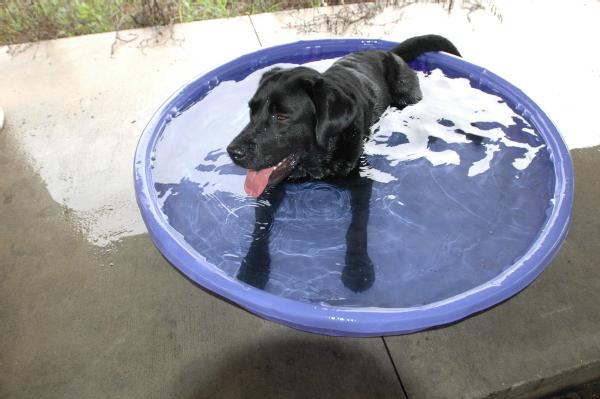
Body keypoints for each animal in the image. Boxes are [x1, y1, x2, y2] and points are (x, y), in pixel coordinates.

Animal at [225, 36, 460, 292]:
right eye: (252, 110)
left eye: (282, 116)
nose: (232, 151)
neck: (317, 161)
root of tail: (389, 52)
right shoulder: (271, 188)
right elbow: (262, 225)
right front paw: (254, 266)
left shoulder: (361, 182)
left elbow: (356, 227)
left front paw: (357, 268)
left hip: (407, 97)